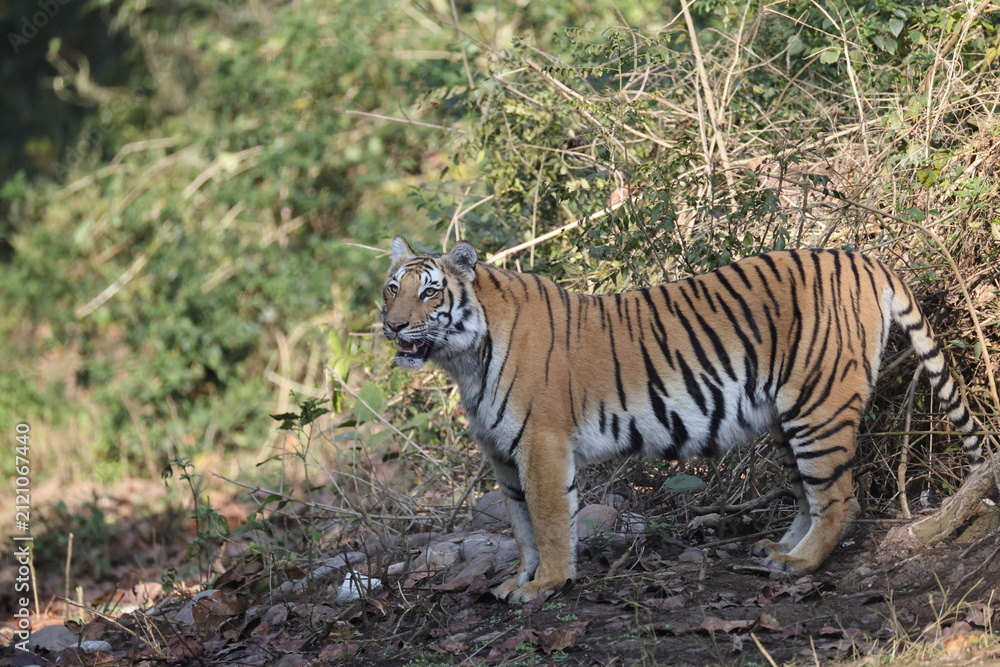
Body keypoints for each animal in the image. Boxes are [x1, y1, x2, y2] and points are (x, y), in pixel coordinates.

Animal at [381, 235, 984, 603]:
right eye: (392, 288)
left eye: (429, 292)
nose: (392, 325)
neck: (463, 360)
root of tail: (862, 258)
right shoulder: (503, 455)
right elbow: (522, 528)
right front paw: (518, 580)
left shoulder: (540, 445)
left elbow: (549, 524)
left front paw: (547, 584)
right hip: (788, 417)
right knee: (809, 496)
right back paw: (777, 552)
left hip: (818, 406)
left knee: (839, 498)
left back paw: (801, 565)